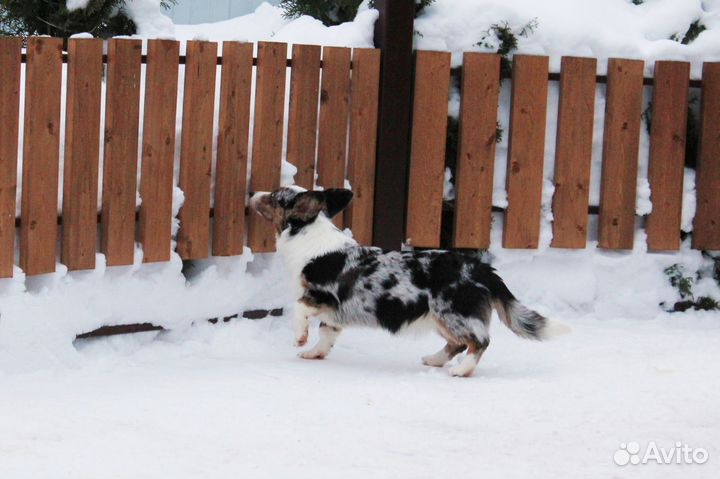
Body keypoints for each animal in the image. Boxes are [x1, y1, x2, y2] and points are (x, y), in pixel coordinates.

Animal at [248, 186, 568, 376]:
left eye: (274, 197)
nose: (252, 191)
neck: (307, 239)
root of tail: (483, 270)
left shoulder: (322, 297)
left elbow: (299, 309)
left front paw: (299, 338)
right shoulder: (333, 315)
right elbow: (327, 335)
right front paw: (313, 353)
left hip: (453, 313)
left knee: (479, 342)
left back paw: (460, 370)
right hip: (442, 318)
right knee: (457, 344)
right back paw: (435, 360)